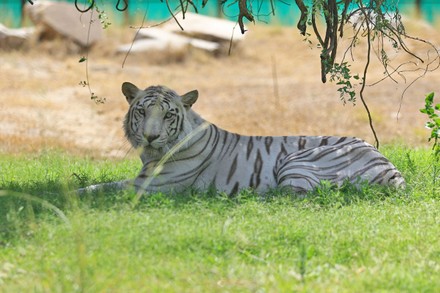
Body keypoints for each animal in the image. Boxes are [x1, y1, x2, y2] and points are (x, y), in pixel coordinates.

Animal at [78, 81, 406, 194]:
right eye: (143, 111)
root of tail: (390, 166)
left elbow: (99, 188)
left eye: (168, 115)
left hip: (295, 162)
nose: (150, 136)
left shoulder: (151, 185)